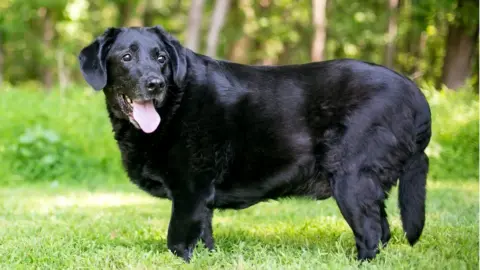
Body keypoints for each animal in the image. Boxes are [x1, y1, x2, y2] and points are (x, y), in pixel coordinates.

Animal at [78, 25, 432, 262]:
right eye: (126, 57)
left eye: (161, 58)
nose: (155, 84)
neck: (173, 106)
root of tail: (415, 93)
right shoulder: (199, 199)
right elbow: (203, 237)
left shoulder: (189, 191)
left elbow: (176, 242)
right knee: (382, 231)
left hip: (353, 179)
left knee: (371, 234)